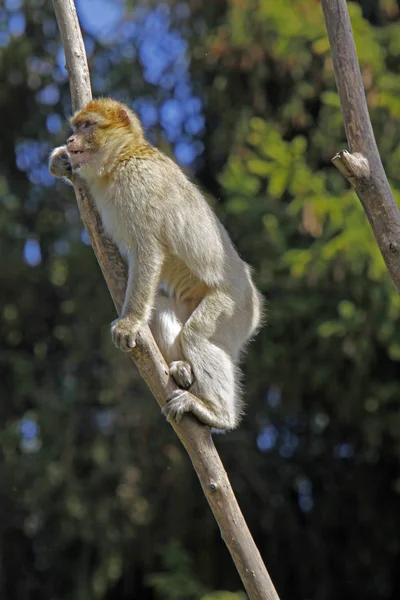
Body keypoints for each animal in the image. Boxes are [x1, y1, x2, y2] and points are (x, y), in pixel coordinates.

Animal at [49, 98, 262, 428]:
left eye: (87, 126)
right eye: (75, 127)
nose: (71, 140)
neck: (121, 159)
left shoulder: (138, 183)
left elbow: (148, 251)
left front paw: (129, 323)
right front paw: (63, 164)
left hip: (236, 307)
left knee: (197, 335)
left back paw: (216, 413)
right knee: (162, 307)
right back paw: (182, 369)